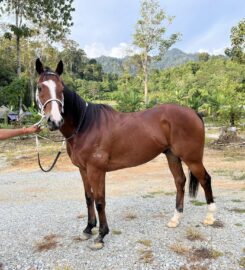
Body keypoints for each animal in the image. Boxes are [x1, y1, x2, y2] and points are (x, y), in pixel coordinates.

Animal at [35, 60, 216, 250]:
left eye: (61, 88)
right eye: (40, 87)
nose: (54, 121)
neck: (85, 125)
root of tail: (194, 112)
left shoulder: (96, 170)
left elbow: (100, 201)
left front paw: (101, 235)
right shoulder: (83, 170)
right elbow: (88, 197)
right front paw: (88, 229)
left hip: (192, 158)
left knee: (205, 179)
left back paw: (210, 217)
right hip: (172, 155)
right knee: (180, 181)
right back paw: (175, 219)